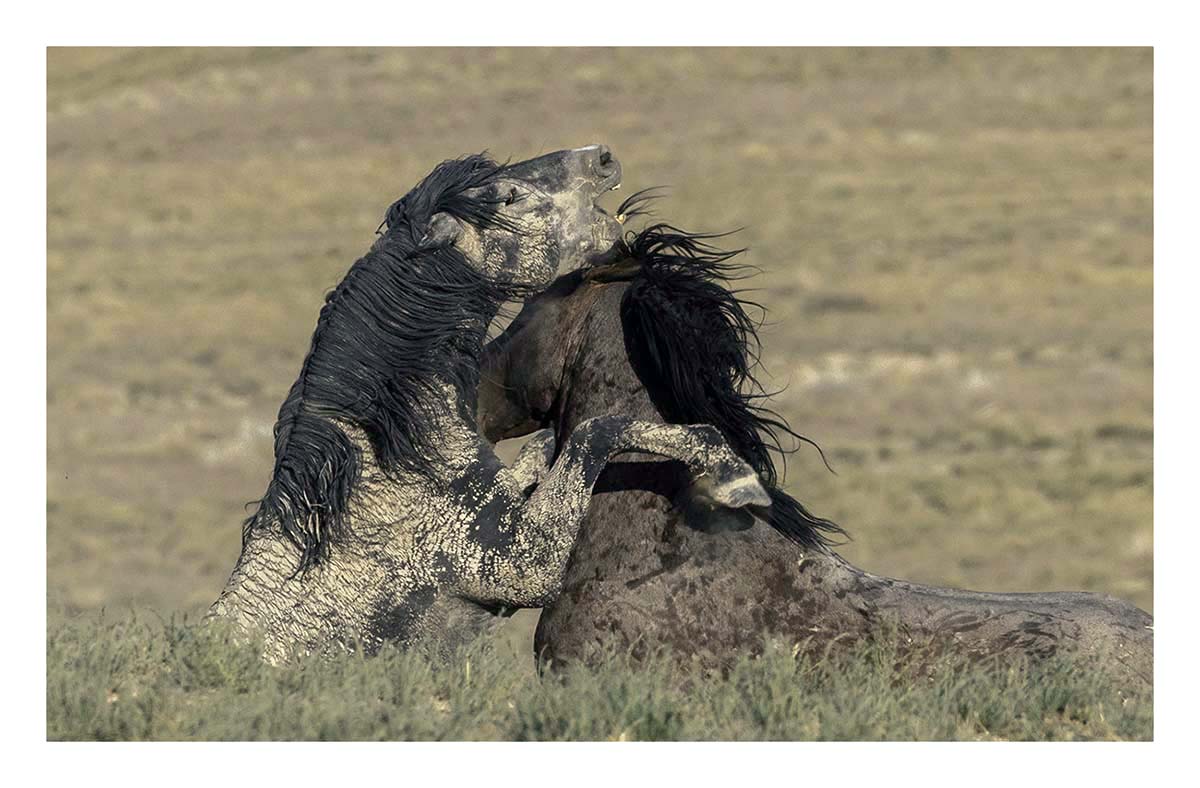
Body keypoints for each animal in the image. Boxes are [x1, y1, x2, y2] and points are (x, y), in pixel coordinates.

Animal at [209, 149, 770, 662]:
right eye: (509, 198)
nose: (601, 158)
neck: (383, 467)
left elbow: (552, 448)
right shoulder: (521, 566)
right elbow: (598, 429)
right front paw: (733, 475)